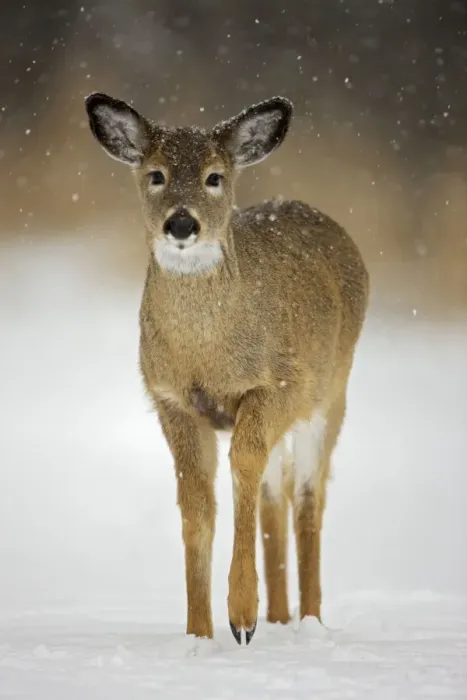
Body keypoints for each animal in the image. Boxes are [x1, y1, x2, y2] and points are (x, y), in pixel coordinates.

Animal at [85, 91, 369, 646]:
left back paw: (308, 622)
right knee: (276, 495)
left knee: (308, 498)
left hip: (332, 393)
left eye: (214, 176)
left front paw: (241, 616)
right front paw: (200, 632)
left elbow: (244, 465)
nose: (181, 223)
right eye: (156, 174)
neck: (208, 355)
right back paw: (278, 617)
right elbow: (197, 501)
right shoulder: (170, 400)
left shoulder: (280, 383)